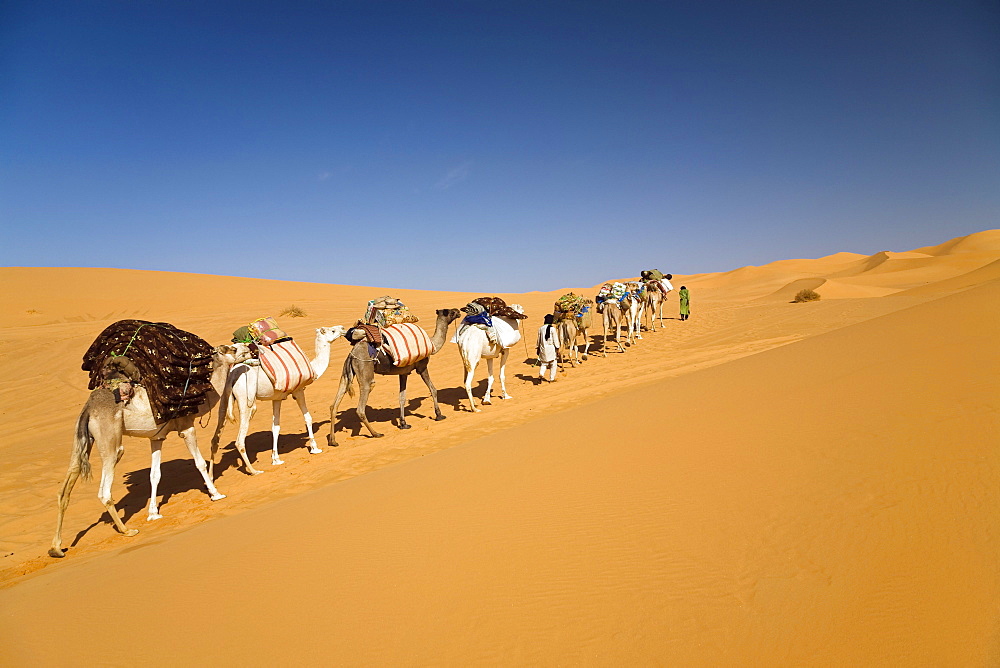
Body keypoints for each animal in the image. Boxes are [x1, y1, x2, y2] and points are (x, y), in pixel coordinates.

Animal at [47, 344, 252, 560]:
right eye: (231, 349)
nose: (248, 348)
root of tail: (88, 409)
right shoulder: (187, 427)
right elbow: (199, 463)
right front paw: (216, 493)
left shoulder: (156, 438)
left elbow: (155, 474)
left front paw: (153, 513)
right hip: (110, 440)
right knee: (105, 489)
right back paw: (127, 530)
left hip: (82, 440)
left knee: (66, 487)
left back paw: (56, 548)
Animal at [211, 324, 348, 474]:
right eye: (332, 330)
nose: (343, 328)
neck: (314, 369)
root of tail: (232, 375)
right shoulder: (299, 391)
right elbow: (308, 418)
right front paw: (315, 448)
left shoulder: (277, 398)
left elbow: (275, 427)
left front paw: (276, 459)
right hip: (246, 400)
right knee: (240, 440)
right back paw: (254, 471)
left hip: (224, 398)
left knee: (215, 439)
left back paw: (211, 477)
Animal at [326, 310, 462, 446]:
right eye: (449, 312)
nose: (459, 311)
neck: (433, 344)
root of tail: (352, 355)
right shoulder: (422, 367)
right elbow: (433, 389)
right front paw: (439, 415)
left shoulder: (404, 373)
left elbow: (402, 397)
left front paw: (403, 423)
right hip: (365, 369)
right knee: (361, 406)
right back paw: (376, 434)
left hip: (346, 374)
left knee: (334, 405)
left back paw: (333, 440)